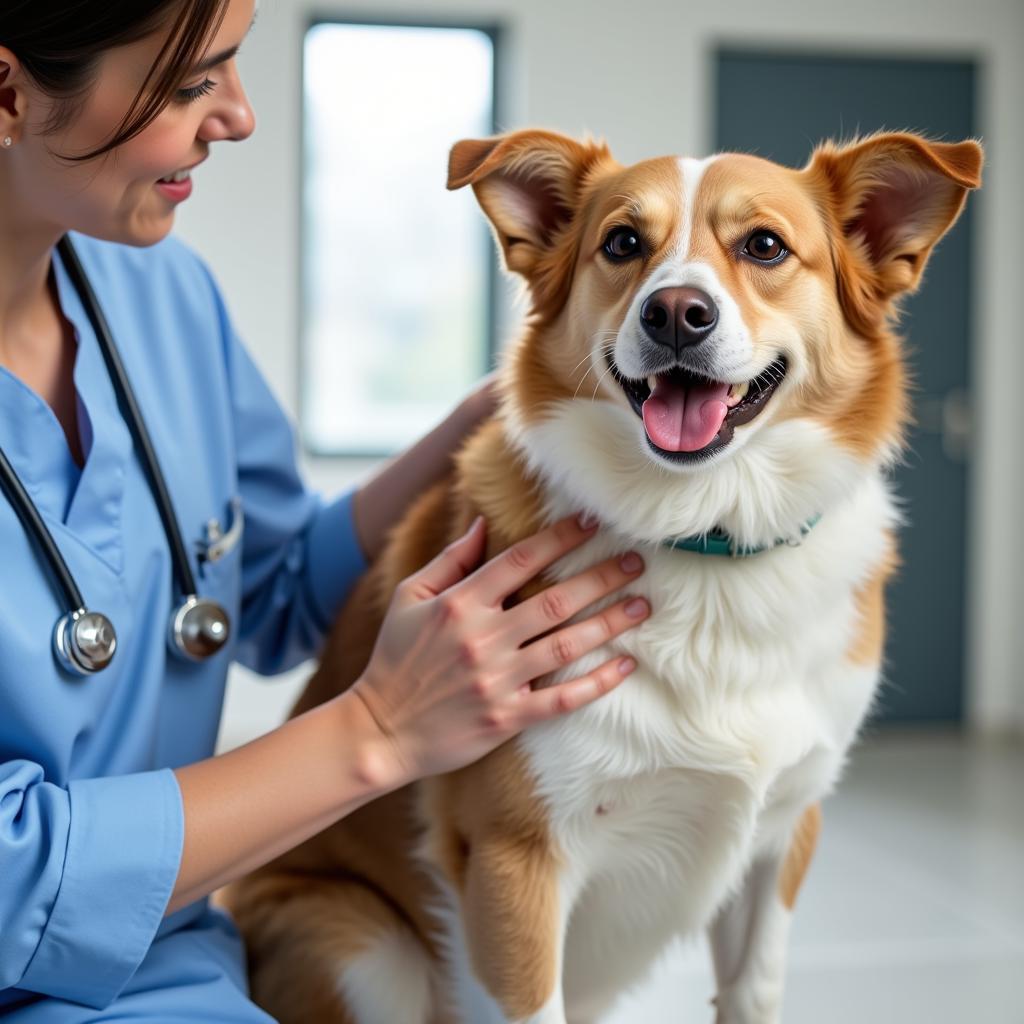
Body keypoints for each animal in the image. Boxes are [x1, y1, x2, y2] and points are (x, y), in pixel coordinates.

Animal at [226, 130, 983, 1024]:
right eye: (622, 243)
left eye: (764, 246)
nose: (676, 313)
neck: (703, 537)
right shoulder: (514, 861)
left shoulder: (783, 835)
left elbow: (754, 990)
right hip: (367, 955)